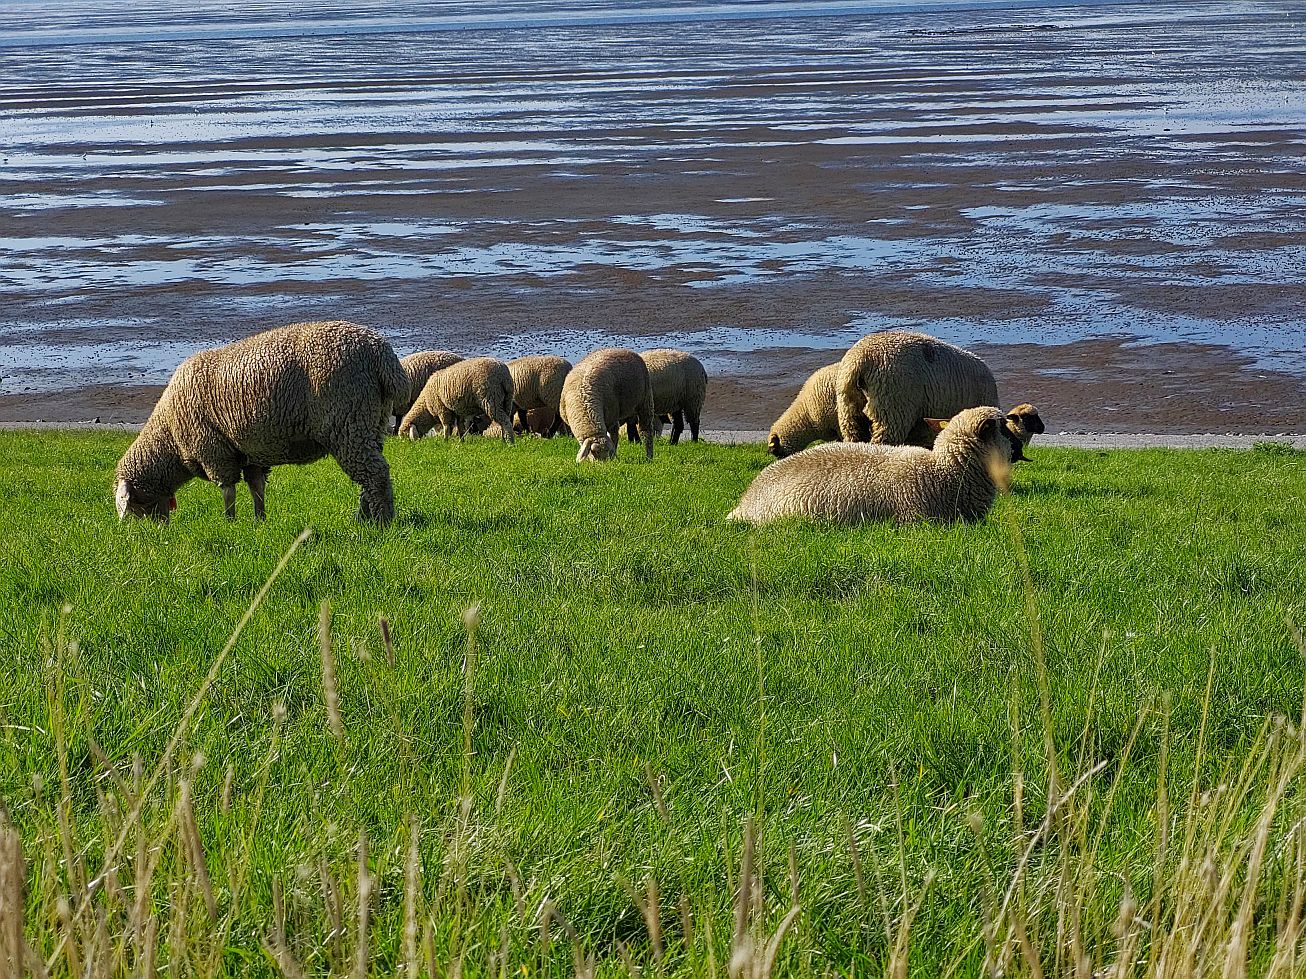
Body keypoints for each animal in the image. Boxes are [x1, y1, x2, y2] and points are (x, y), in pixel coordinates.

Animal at [114, 320, 407, 525]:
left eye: (135, 506)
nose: (158, 530)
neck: (169, 439)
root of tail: (382, 355)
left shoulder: (214, 451)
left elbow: (228, 491)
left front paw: (229, 522)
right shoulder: (248, 452)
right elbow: (256, 488)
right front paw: (259, 520)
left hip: (347, 422)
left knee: (375, 473)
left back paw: (381, 521)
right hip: (371, 422)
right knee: (369, 475)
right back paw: (364, 517)